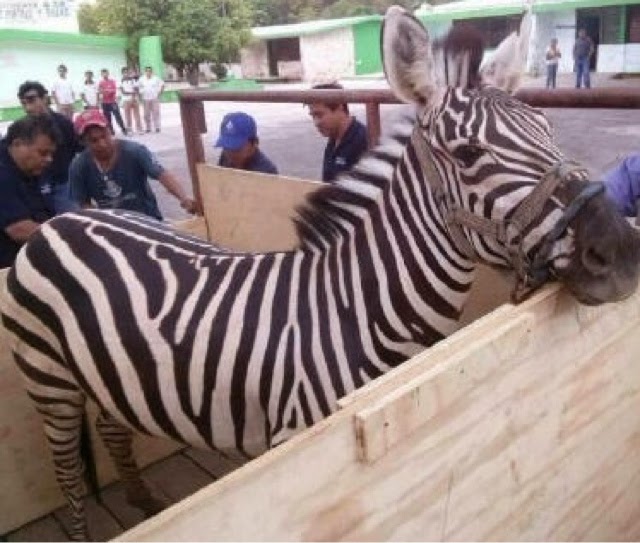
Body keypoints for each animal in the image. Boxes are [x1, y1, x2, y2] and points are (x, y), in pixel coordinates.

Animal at [1, 6, 640, 540]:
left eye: (549, 130)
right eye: (466, 155)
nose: (624, 254)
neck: (358, 308)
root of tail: (66, 218)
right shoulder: (297, 440)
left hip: (100, 368)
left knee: (111, 427)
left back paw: (143, 502)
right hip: (47, 376)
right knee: (66, 468)